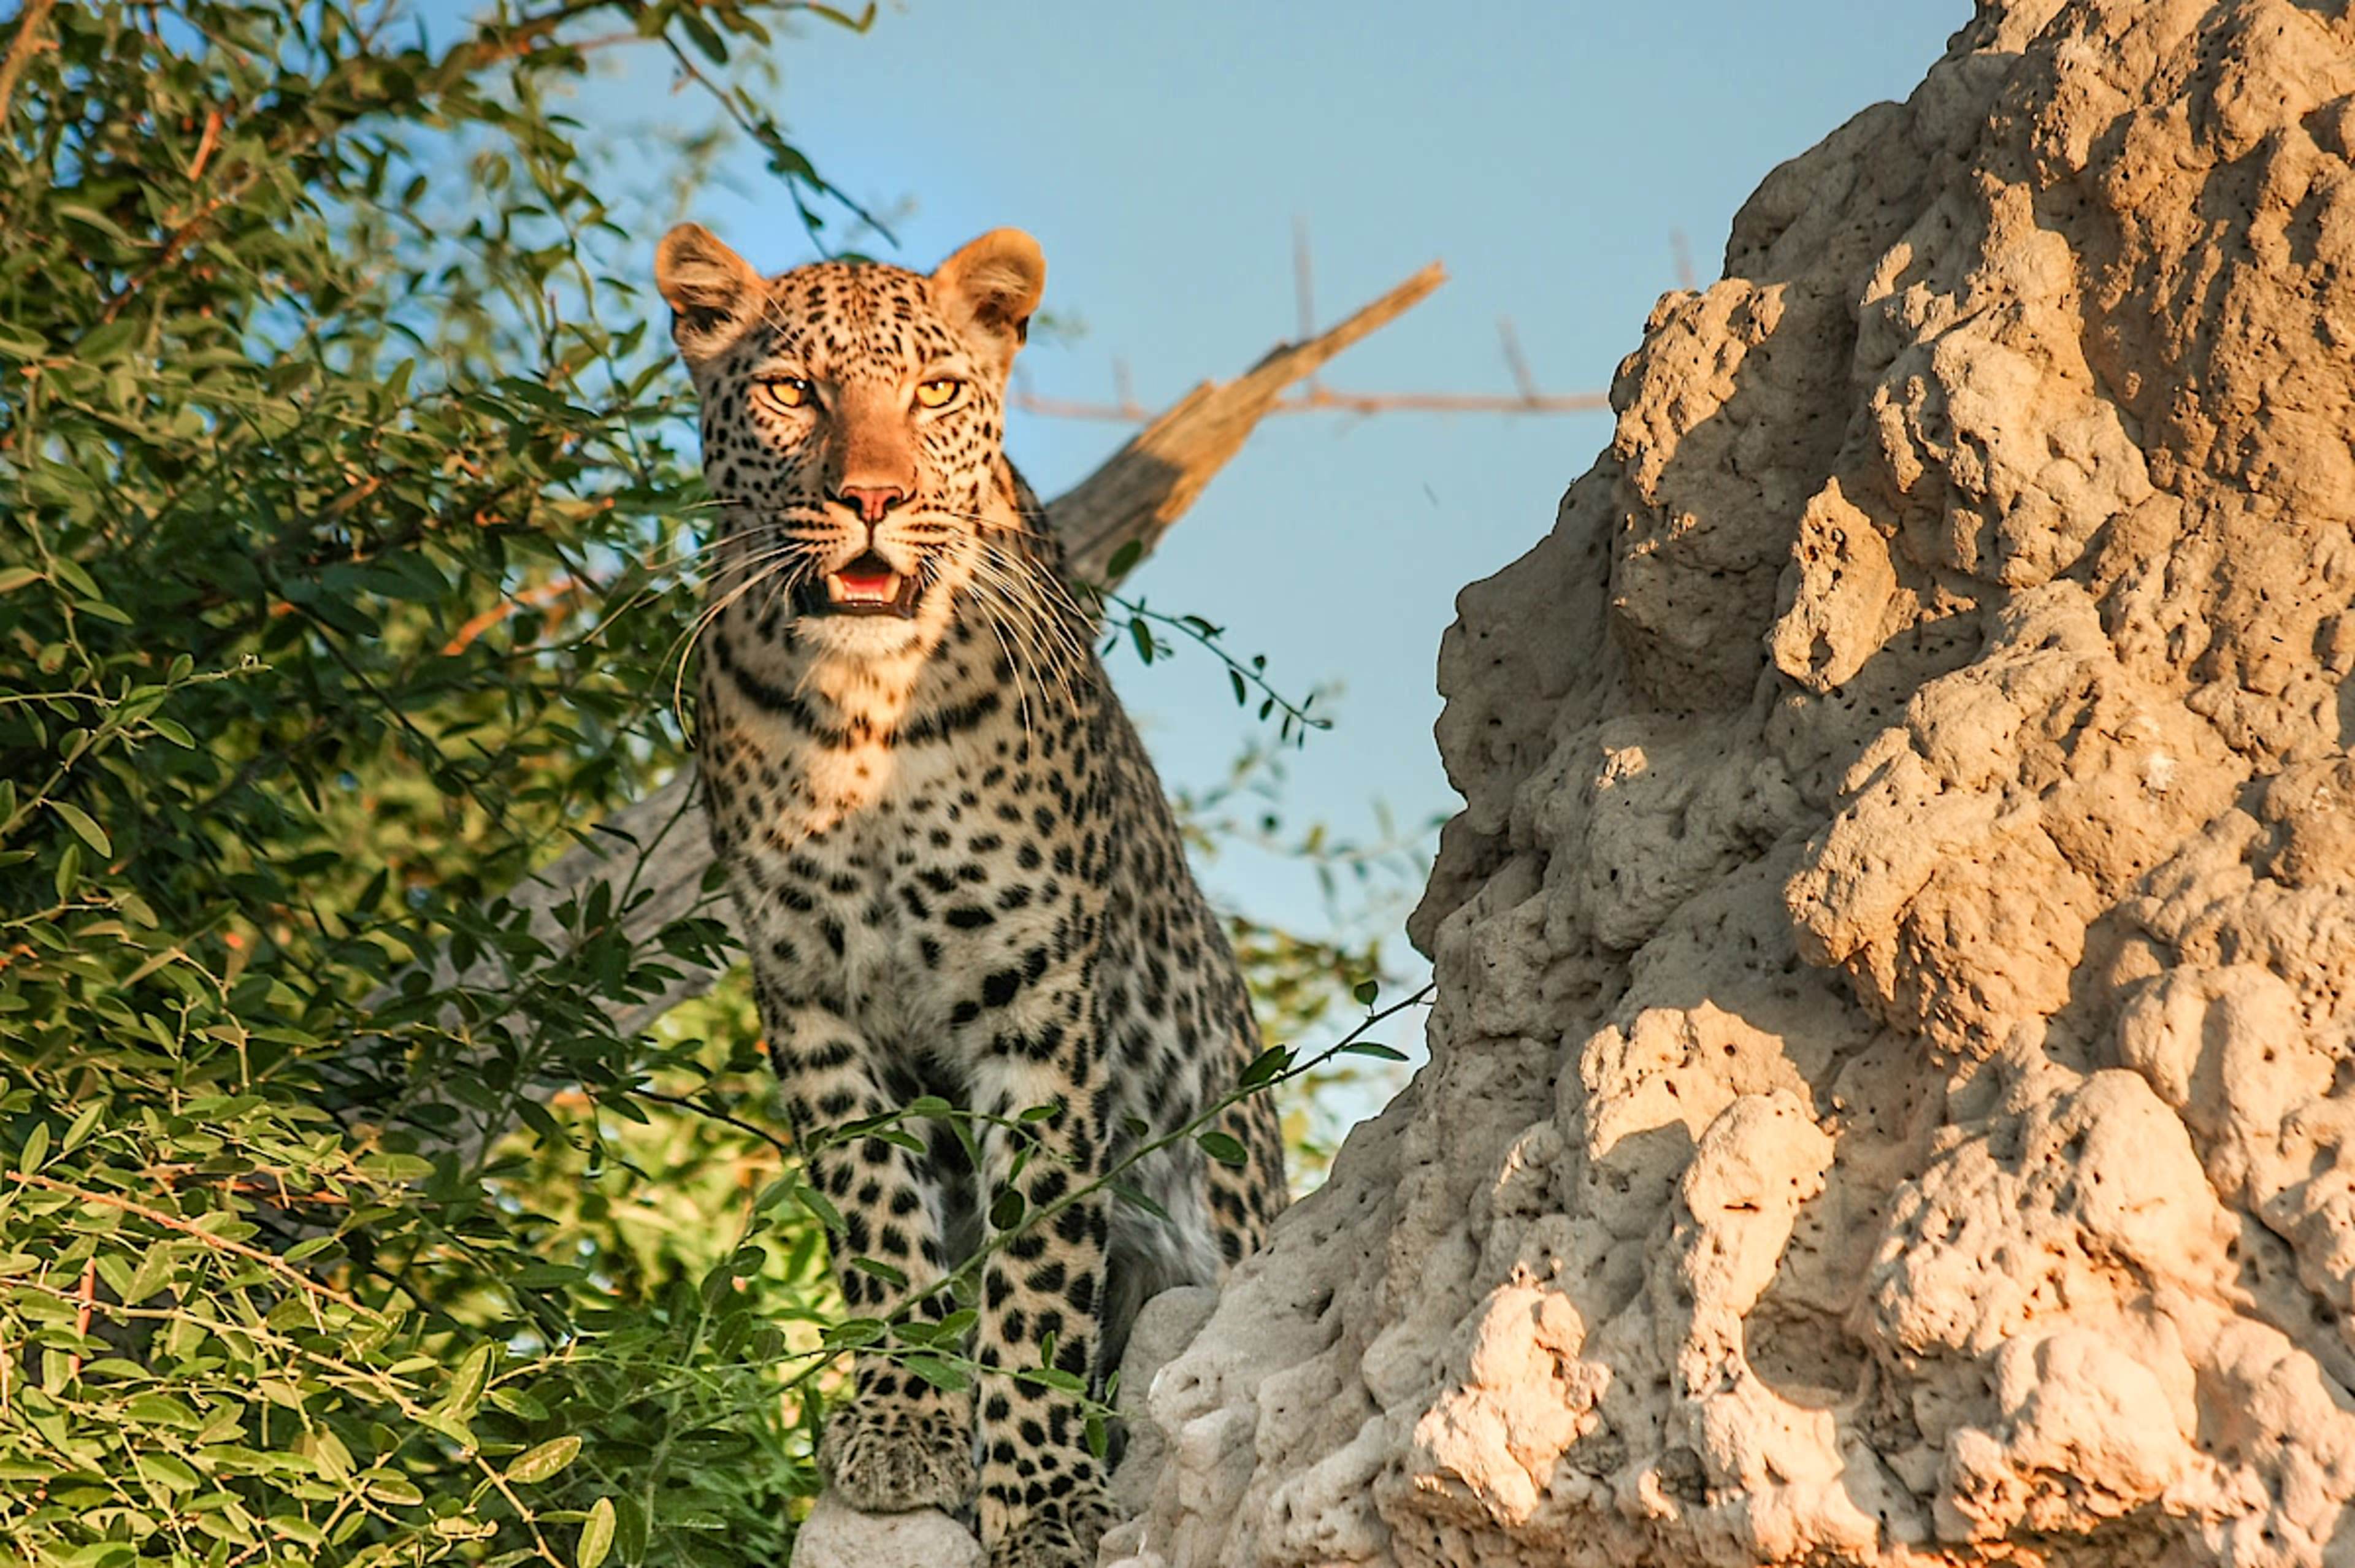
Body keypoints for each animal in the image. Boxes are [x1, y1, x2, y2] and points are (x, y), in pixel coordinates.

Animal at [653, 222, 1288, 1568]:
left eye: (937, 393)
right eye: (793, 391)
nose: (872, 501)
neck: (864, 713)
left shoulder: (1034, 994)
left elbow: (1037, 1259)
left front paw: (1044, 1497)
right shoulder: (811, 994)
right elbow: (877, 1219)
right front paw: (902, 1425)